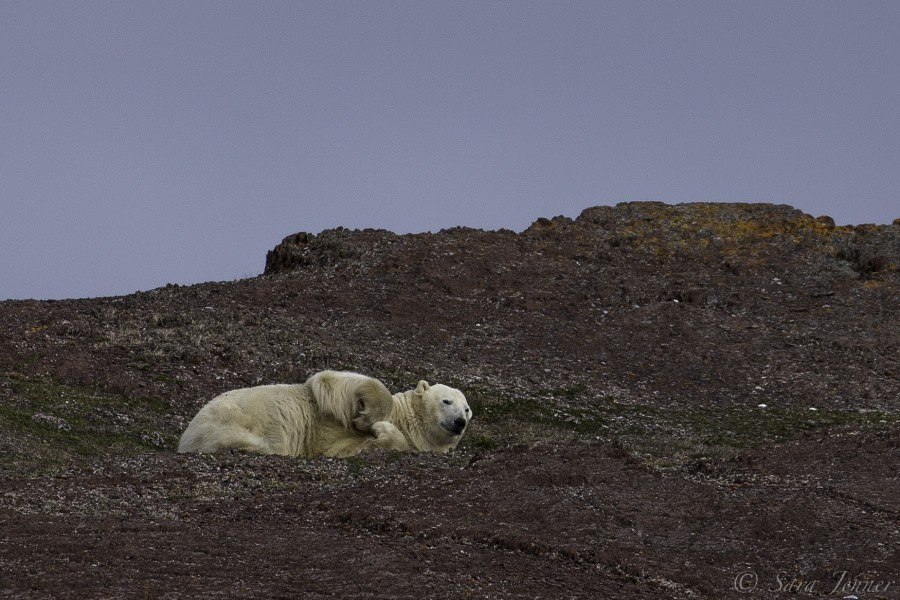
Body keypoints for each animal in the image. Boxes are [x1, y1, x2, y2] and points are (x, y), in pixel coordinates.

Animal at [178, 368, 392, 458]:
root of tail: (184, 441)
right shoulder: (322, 399)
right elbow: (331, 381)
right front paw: (366, 418)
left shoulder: (327, 438)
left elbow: (338, 447)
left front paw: (374, 440)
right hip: (222, 422)